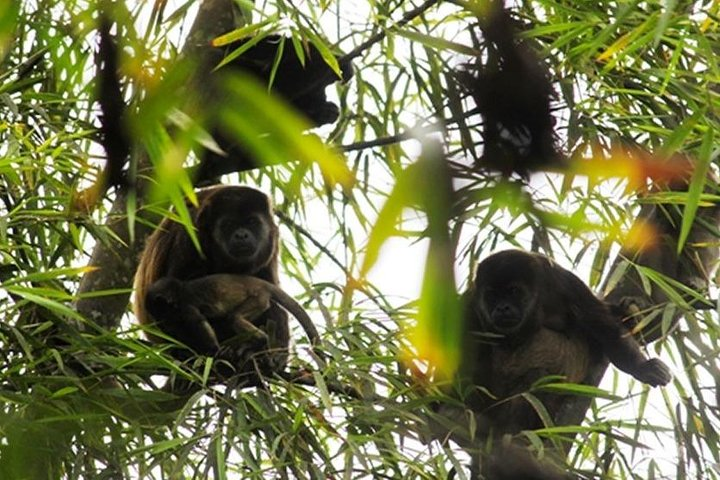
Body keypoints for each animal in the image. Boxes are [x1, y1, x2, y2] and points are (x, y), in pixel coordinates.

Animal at [134, 185, 292, 382]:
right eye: (229, 224)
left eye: (252, 222)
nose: (241, 235)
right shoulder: (189, 231)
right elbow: (174, 294)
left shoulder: (273, 238)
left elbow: (273, 292)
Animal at [434, 249, 676, 478]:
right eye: (491, 295)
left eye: (514, 291)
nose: (502, 308)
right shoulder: (471, 303)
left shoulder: (563, 281)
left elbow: (602, 325)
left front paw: (643, 368)